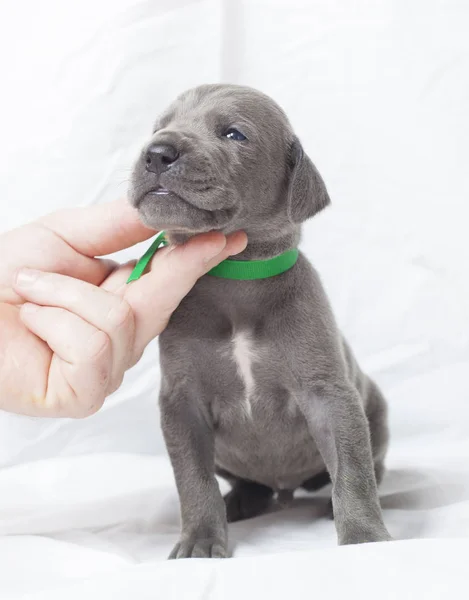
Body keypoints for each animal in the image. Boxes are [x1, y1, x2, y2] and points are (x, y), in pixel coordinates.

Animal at [128, 83, 392, 556]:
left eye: (234, 134)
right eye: (159, 126)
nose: (156, 152)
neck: (236, 278)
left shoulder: (329, 395)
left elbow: (352, 470)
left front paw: (364, 536)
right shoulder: (182, 402)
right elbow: (193, 480)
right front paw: (200, 540)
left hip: (375, 409)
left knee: (371, 462)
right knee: (252, 485)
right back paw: (242, 501)